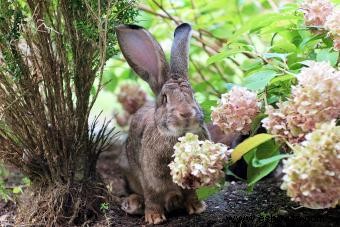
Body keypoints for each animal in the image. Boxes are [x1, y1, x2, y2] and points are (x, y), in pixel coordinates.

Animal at [115, 22, 210, 224]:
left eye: (193, 95)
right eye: (165, 99)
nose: (186, 113)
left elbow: (191, 193)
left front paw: (197, 208)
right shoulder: (150, 179)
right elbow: (152, 196)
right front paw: (154, 218)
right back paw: (134, 204)